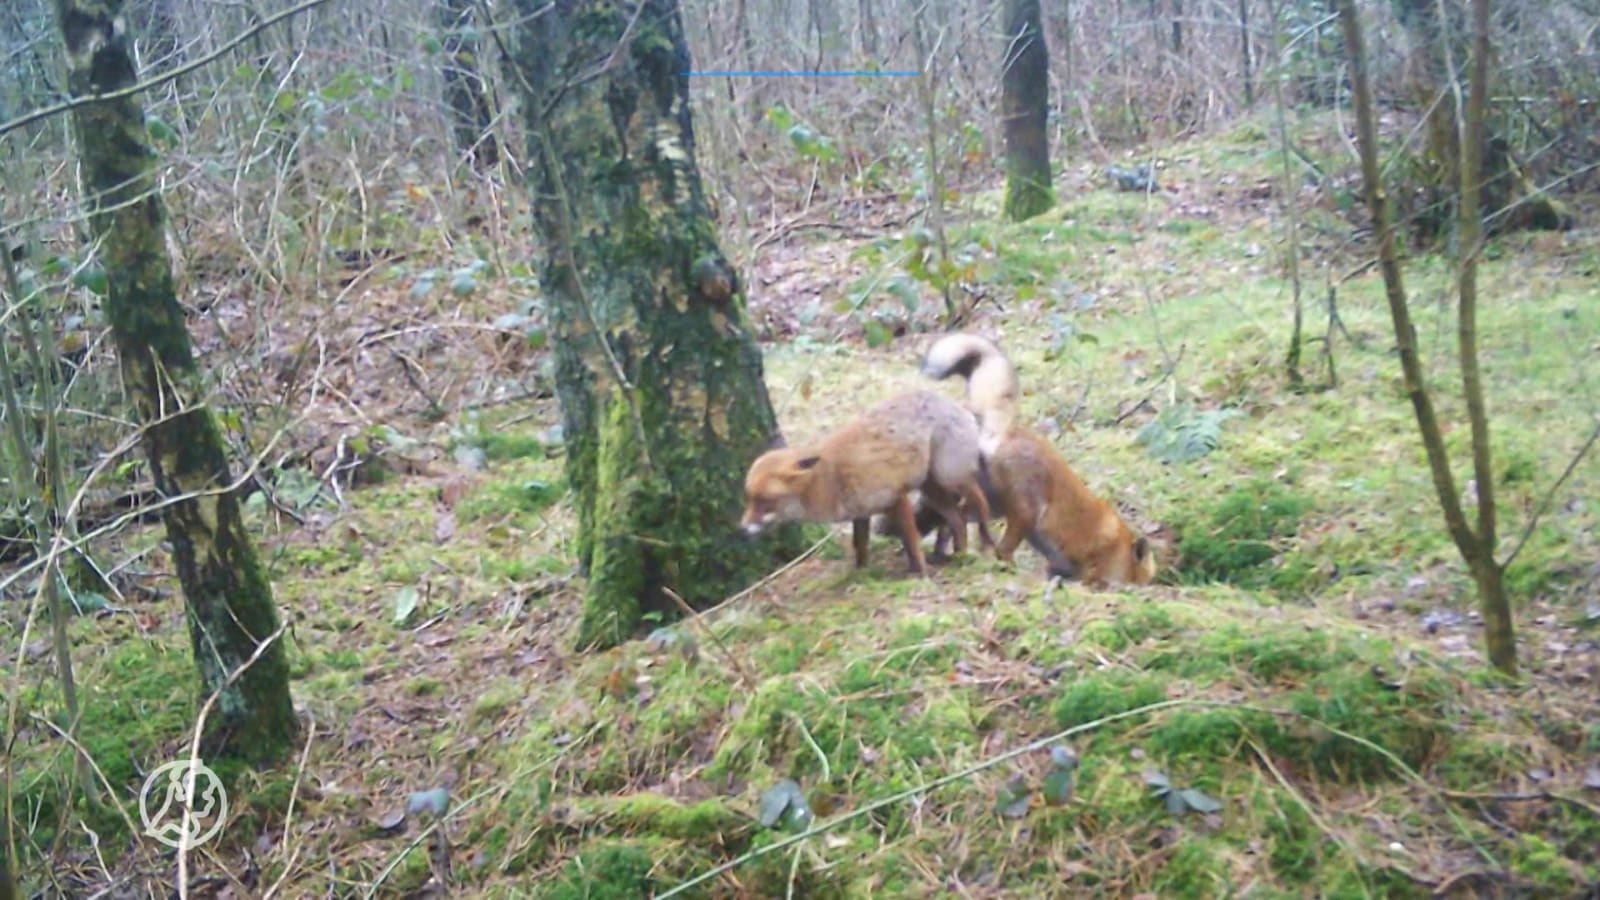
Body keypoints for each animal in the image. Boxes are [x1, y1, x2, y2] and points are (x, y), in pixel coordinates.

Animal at [742, 387, 992, 570]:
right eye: (749, 499)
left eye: (764, 501)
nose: (742, 528)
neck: (831, 479)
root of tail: (956, 404)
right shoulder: (860, 512)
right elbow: (860, 545)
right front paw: (861, 573)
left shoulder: (896, 497)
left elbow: (911, 542)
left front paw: (920, 574)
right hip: (931, 488)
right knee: (958, 520)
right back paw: (961, 555)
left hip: (950, 478)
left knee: (980, 504)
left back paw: (988, 542)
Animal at [921, 333, 1158, 586]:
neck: (1120, 549)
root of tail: (1006, 430)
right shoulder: (1092, 571)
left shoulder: (1059, 567)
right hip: (1025, 515)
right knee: (1001, 549)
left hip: (991, 507)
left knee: (951, 521)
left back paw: (947, 556)